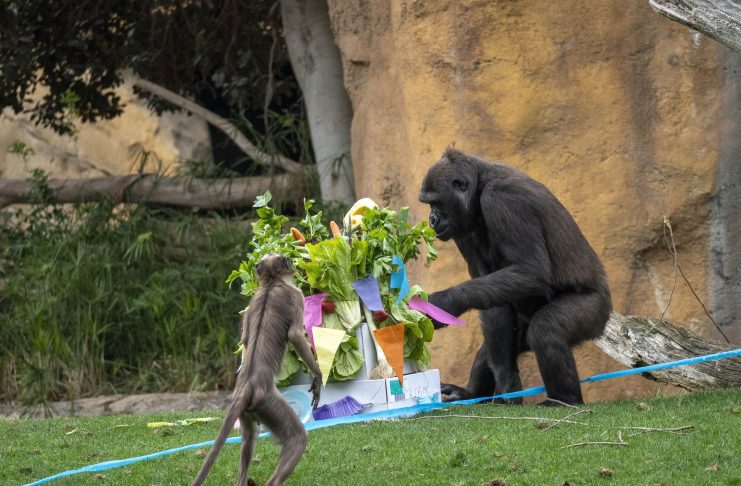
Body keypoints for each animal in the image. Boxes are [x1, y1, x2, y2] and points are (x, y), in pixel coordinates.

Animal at [193, 254, 322, 486]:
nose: (292, 264)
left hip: (250, 410)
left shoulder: (251, 302)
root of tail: (247, 386)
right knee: (297, 438)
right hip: (269, 402)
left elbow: (245, 338)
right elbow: (295, 334)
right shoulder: (295, 295)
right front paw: (317, 377)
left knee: (249, 437)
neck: (271, 283)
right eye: (287, 260)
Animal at [418, 148, 612, 405]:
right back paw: (471, 393)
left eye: (436, 202)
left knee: (546, 330)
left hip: (595, 310)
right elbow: (488, 298)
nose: (432, 220)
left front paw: (445, 302)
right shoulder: (462, 229)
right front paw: (506, 381)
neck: (480, 186)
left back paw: (563, 399)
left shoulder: (504, 201)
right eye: (429, 204)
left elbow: (531, 271)